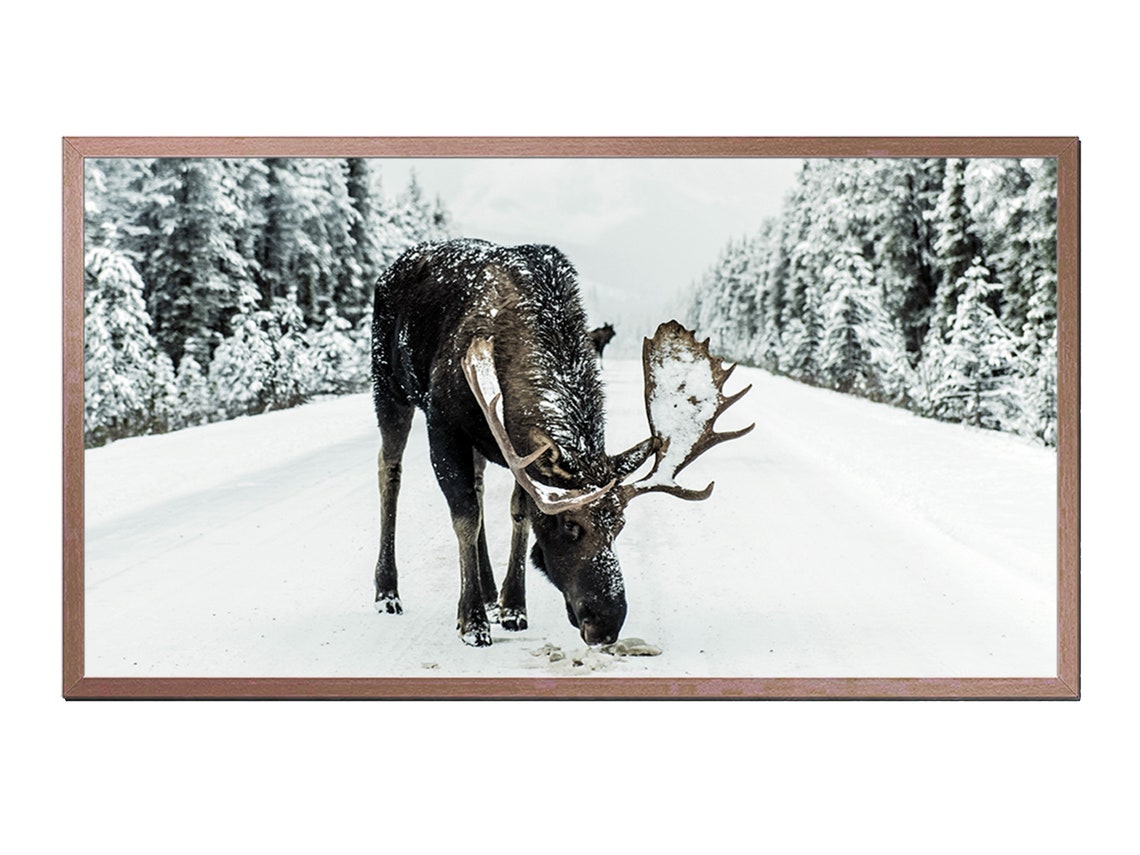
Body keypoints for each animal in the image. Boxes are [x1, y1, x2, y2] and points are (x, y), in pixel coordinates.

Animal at [371, 238, 752, 647]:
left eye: (620, 525)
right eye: (570, 525)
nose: (606, 624)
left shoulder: (517, 450)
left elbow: (519, 513)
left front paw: (513, 606)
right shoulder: (444, 422)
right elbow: (465, 517)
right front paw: (471, 621)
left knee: (478, 484)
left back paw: (489, 592)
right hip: (388, 385)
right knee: (390, 470)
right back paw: (388, 592)